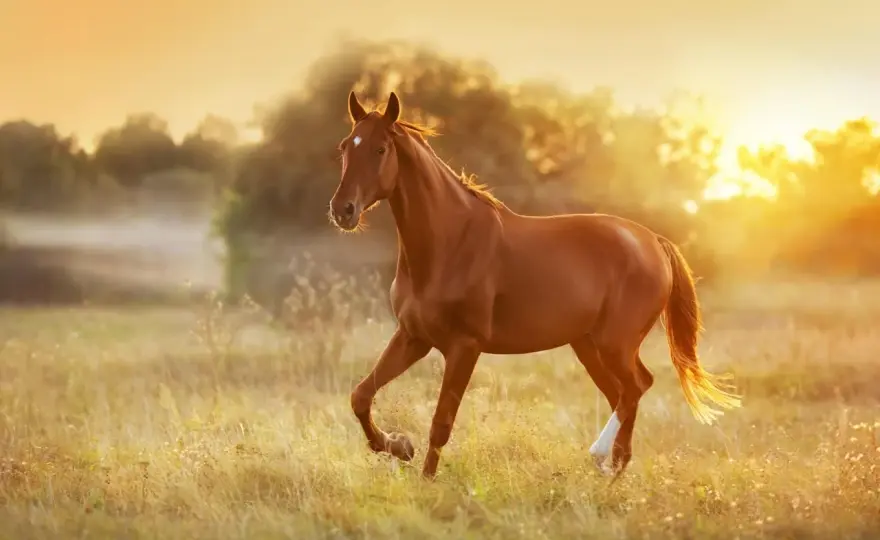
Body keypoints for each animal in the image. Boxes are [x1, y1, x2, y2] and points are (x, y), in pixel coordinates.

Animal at [328, 90, 741, 480]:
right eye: (345, 146)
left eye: (381, 148)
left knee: (637, 387)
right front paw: (398, 446)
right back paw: (612, 469)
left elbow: (441, 424)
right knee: (623, 395)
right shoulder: (413, 337)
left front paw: (425, 480)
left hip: (614, 344)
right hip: (588, 346)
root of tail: (652, 240)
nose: (342, 210)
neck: (450, 242)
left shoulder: (464, 347)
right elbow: (360, 396)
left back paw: (600, 456)